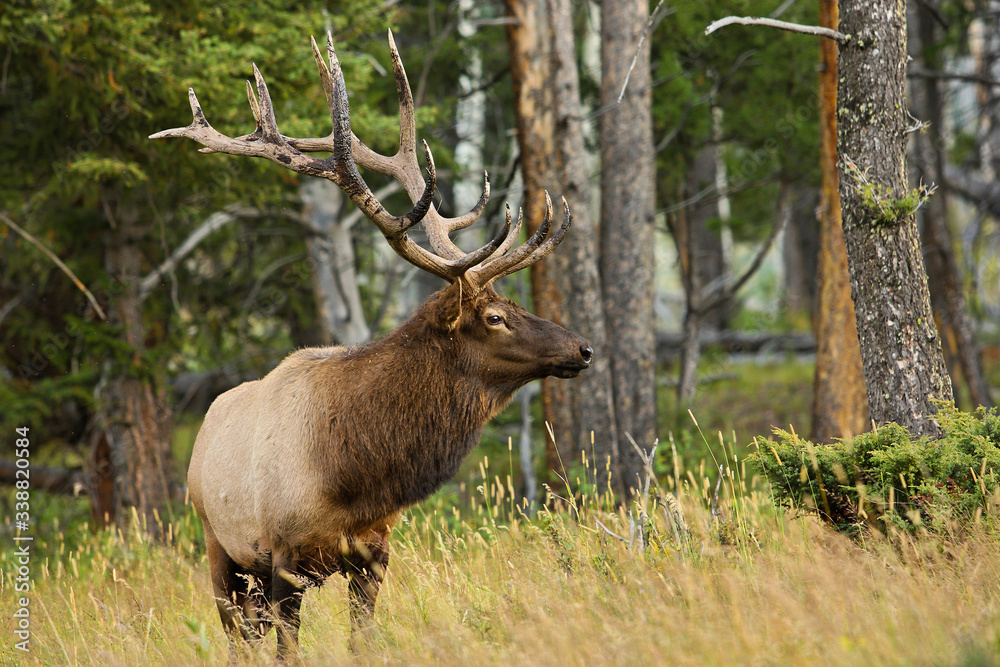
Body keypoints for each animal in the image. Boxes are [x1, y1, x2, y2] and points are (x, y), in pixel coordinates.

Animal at [150, 30, 592, 656]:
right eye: (495, 316)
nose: (582, 349)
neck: (356, 475)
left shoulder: (374, 555)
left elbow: (364, 642)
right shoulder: (284, 558)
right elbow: (288, 651)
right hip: (219, 547)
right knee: (239, 638)